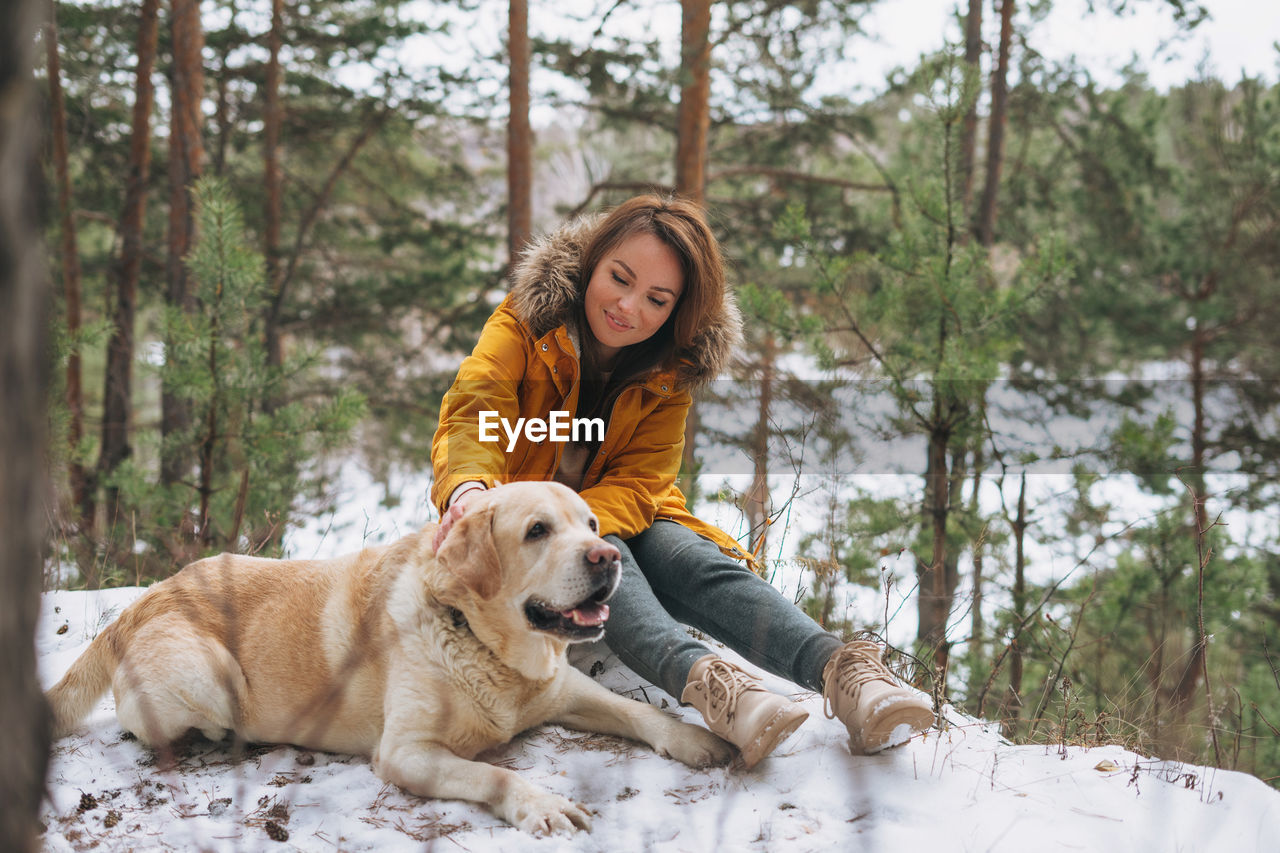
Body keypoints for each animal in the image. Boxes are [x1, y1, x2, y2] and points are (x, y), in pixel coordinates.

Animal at [47, 481, 732, 835]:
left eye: (591, 524)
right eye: (538, 531)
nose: (607, 557)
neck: (480, 640)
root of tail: (149, 595)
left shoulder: (560, 688)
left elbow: (637, 713)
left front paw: (697, 739)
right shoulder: (406, 753)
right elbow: (494, 774)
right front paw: (540, 804)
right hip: (211, 677)